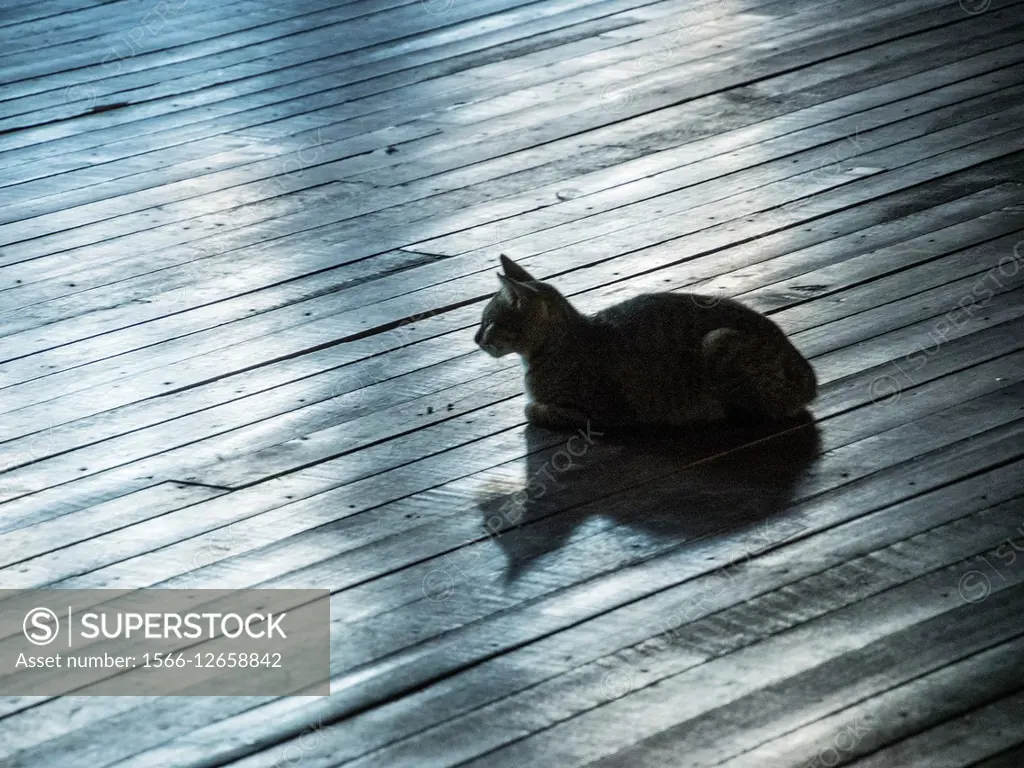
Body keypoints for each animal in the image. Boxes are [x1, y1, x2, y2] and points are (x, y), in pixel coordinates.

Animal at [475, 253, 819, 430]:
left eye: (489, 322)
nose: (476, 338)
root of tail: (808, 376)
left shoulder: (603, 414)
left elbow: (533, 409)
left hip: (718, 341)